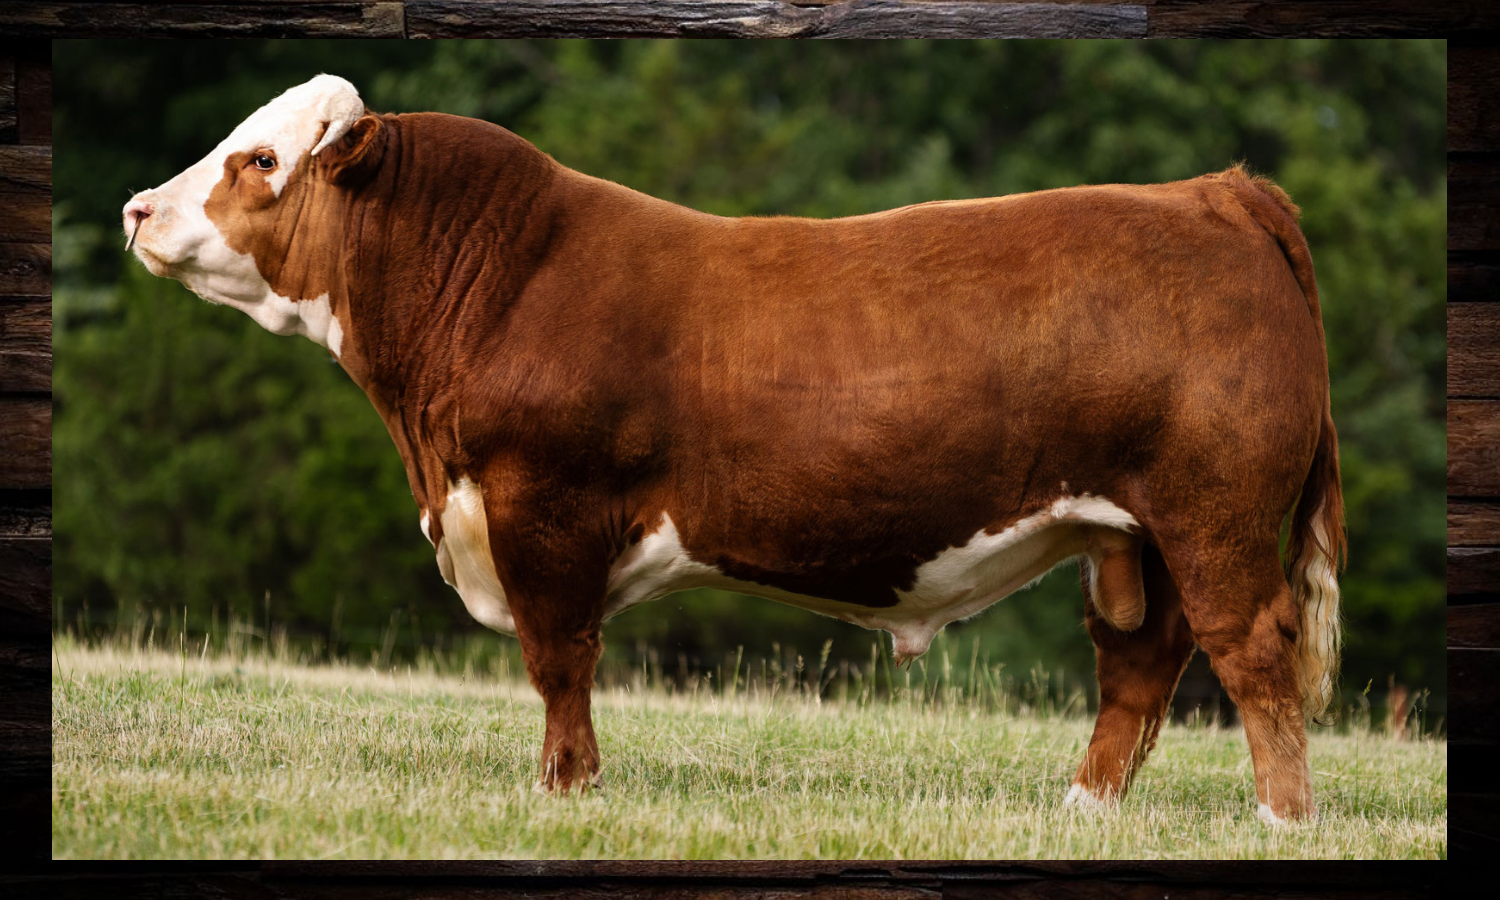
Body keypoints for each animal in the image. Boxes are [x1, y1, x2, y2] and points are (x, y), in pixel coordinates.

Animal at [124, 74, 1344, 824]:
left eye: (260, 157)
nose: (137, 208)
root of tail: (1218, 193)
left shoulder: (543, 511)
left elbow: (560, 662)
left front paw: (566, 792)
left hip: (1217, 518)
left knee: (1257, 652)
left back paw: (1281, 819)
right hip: (1132, 533)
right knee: (1140, 665)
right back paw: (1083, 810)